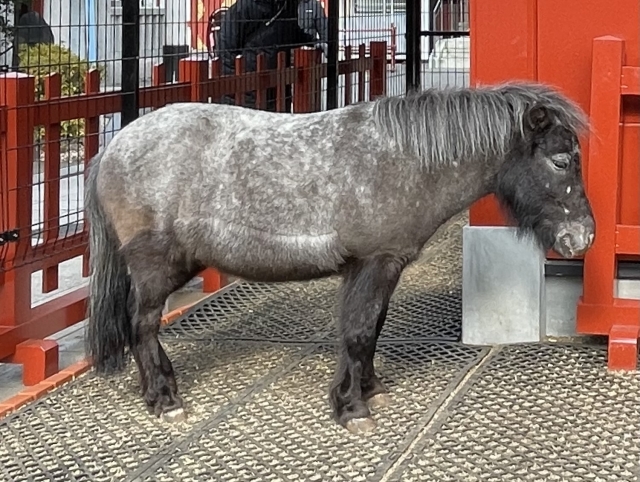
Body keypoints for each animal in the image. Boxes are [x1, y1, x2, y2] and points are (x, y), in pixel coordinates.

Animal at [85, 81, 595, 435]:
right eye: (561, 160)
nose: (583, 237)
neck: (402, 160)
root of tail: (113, 148)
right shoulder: (374, 263)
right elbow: (357, 332)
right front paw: (352, 408)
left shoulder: (377, 269)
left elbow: (370, 330)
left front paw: (370, 390)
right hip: (155, 268)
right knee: (142, 324)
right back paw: (164, 398)